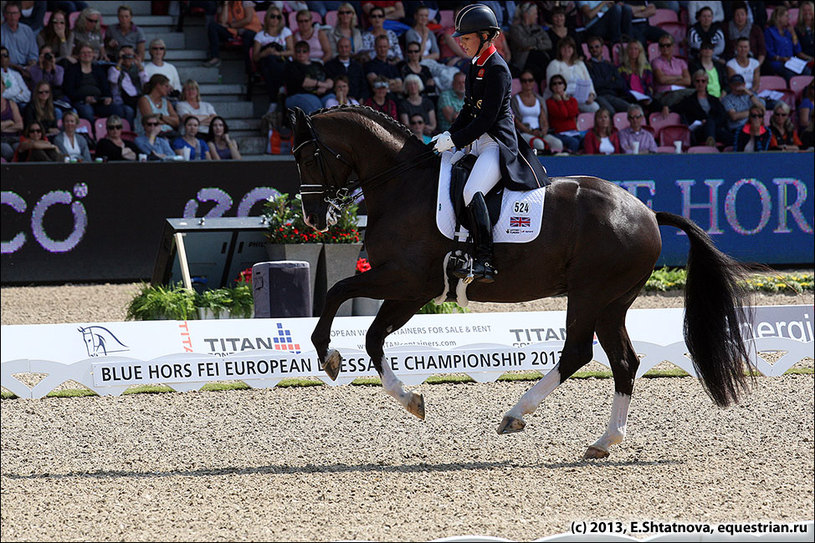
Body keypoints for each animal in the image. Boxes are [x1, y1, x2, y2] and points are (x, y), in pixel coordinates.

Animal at [290, 105, 756, 460]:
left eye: (308, 157)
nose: (314, 220)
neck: (403, 184)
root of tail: (646, 212)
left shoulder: (405, 279)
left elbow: (336, 293)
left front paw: (327, 355)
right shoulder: (411, 290)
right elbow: (372, 338)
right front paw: (412, 401)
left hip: (589, 295)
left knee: (578, 353)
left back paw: (517, 413)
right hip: (612, 303)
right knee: (624, 362)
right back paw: (604, 441)